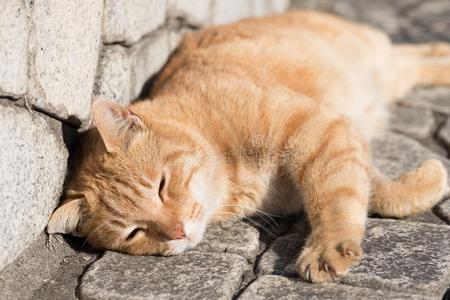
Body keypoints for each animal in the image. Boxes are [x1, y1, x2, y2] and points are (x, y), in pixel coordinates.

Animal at [46, 11, 450, 284]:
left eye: (161, 186)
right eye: (135, 232)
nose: (177, 231)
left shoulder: (320, 129)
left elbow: (336, 198)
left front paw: (328, 247)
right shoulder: (338, 140)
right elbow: (369, 190)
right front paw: (427, 181)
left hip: (376, 61)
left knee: (413, 53)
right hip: (391, 75)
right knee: (417, 59)